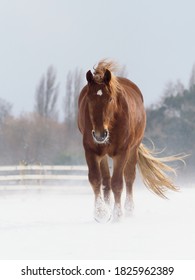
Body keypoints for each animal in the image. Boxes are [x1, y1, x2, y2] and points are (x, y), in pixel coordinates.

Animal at [77, 60, 183, 222]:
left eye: (110, 99)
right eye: (89, 99)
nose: (100, 135)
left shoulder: (122, 152)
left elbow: (118, 182)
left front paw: (118, 215)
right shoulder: (91, 150)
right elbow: (95, 179)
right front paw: (101, 213)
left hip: (133, 149)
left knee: (129, 177)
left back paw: (129, 209)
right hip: (103, 153)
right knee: (106, 180)